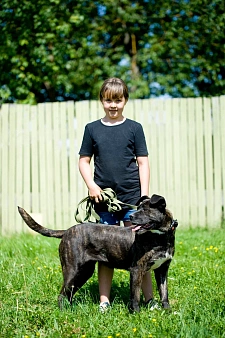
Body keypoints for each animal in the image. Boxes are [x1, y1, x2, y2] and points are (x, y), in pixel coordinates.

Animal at [17, 194, 178, 312]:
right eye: (138, 208)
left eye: (145, 210)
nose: (131, 217)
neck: (160, 237)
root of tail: (67, 231)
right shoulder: (137, 269)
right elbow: (135, 296)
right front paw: (136, 314)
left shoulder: (162, 270)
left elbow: (164, 293)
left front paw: (168, 312)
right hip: (72, 270)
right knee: (62, 294)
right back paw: (64, 313)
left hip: (84, 272)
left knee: (69, 293)